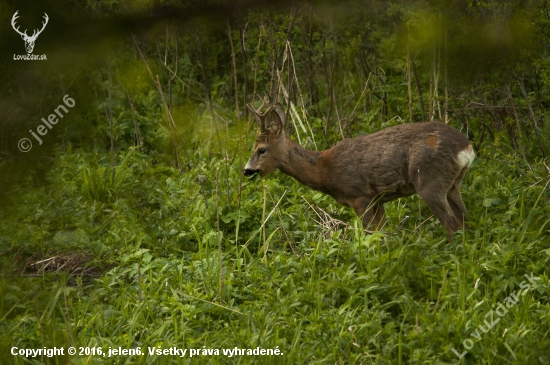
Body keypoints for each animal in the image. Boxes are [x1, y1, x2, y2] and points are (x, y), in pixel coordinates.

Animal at [244, 102, 476, 240]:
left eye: (261, 149)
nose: (246, 170)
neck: (324, 171)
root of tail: (466, 148)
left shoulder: (359, 195)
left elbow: (368, 233)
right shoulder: (377, 199)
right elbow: (381, 233)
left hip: (429, 180)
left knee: (453, 224)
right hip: (453, 184)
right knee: (465, 220)